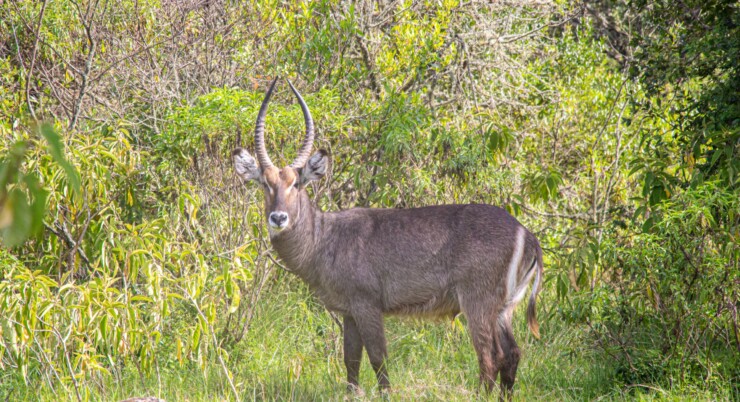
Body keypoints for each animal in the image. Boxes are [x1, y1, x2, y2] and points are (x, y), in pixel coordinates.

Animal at [231, 77, 544, 398]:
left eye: (296, 184)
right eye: (265, 184)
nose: (278, 218)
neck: (324, 239)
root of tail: (526, 234)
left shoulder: (367, 305)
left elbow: (378, 357)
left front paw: (385, 394)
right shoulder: (349, 312)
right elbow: (351, 360)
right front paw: (352, 394)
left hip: (477, 301)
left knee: (490, 358)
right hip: (503, 308)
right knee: (512, 354)